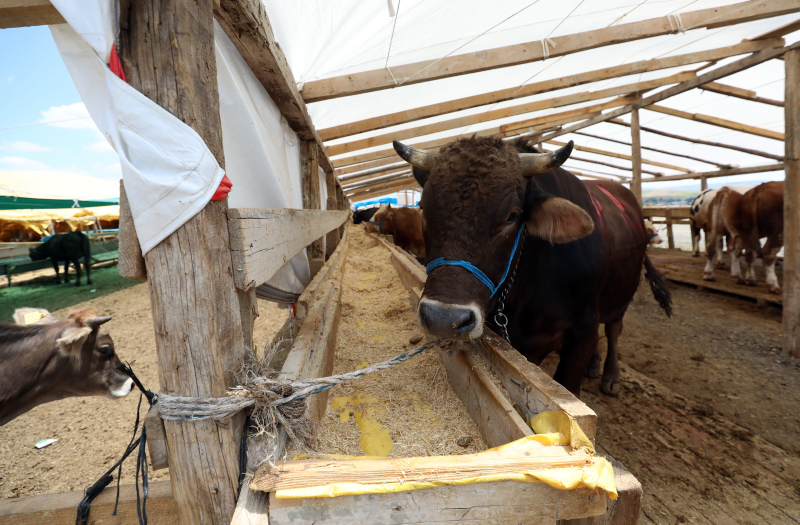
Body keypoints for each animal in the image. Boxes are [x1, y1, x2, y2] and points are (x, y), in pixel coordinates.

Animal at [393, 136, 672, 397]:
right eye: (423, 208)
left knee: (614, 330)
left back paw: (611, 376)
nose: (444, 320)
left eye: (512, 216)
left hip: (622, 296)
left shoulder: (583, 333)